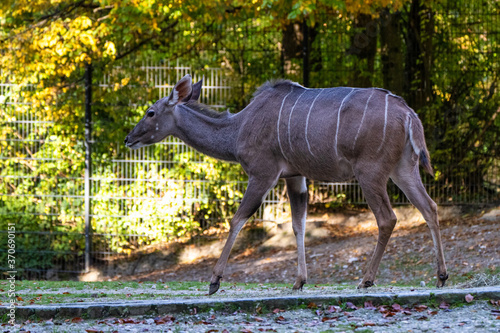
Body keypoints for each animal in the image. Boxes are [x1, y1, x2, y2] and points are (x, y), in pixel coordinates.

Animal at [126, 74, 450, 294]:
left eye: (150, 112)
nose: (129, 138)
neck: (238, 129)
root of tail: (409, 115)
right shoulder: (295, 176)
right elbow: (298, 225)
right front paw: (299, 281)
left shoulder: (263, 173)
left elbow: (238, 219)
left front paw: (214, 280)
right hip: (403, 168)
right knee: (429, 207)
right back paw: (441, 276)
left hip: (370, 172)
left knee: (387, 218)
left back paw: (366, 279)